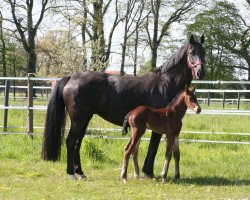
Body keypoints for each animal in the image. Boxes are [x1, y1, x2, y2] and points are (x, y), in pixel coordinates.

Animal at [41, 34, 205, 180]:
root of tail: (71, 78)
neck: (165, 82)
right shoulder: (158, 127)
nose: (200, 72)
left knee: (77, 143)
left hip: (83, 120)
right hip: (79, 120)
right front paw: (148, 172)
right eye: (191, 52)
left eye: (203, 52)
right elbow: (153, 147)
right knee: (70, 142)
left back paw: (80, 173)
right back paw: (72, 174)